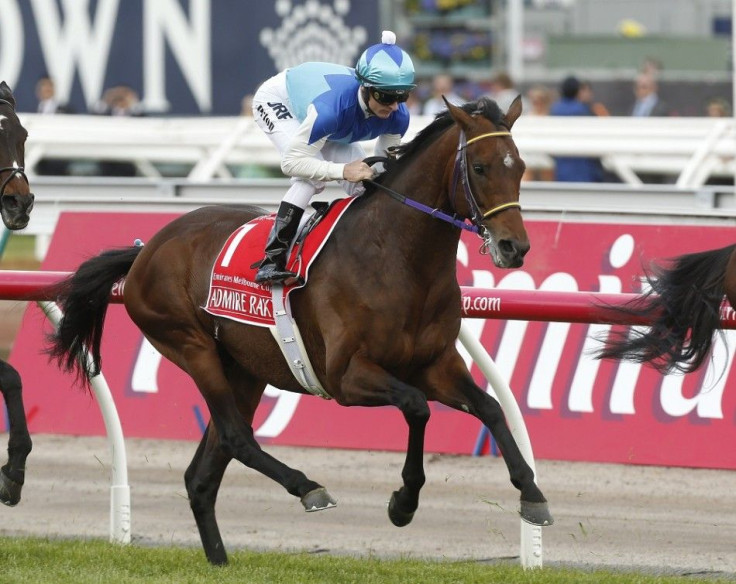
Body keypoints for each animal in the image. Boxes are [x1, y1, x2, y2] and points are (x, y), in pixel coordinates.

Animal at [47, 98, 552, 564]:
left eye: (521, 167)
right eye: (480, 167)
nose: (515, 247)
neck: (398, 258)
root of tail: (147, 248)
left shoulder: (436, 365)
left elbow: (490, 407)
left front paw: (532, 494)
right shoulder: (347, 376)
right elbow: (416, 407)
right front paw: (404, 502)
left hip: (244, 368)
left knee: (203, 473)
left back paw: (220, 559)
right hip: (191, 346)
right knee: (236, 436)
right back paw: (308, 487)